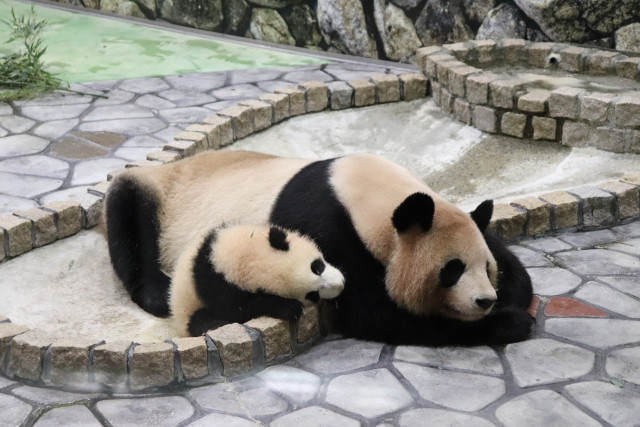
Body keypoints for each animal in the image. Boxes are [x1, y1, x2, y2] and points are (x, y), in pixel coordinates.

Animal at [169, 224, 344, 337]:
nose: (341, 284)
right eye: (312, 295)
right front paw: (289, 307)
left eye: (317, 267)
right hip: (190, 311)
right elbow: (237, 310)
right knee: (202, 321)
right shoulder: (217, 289)